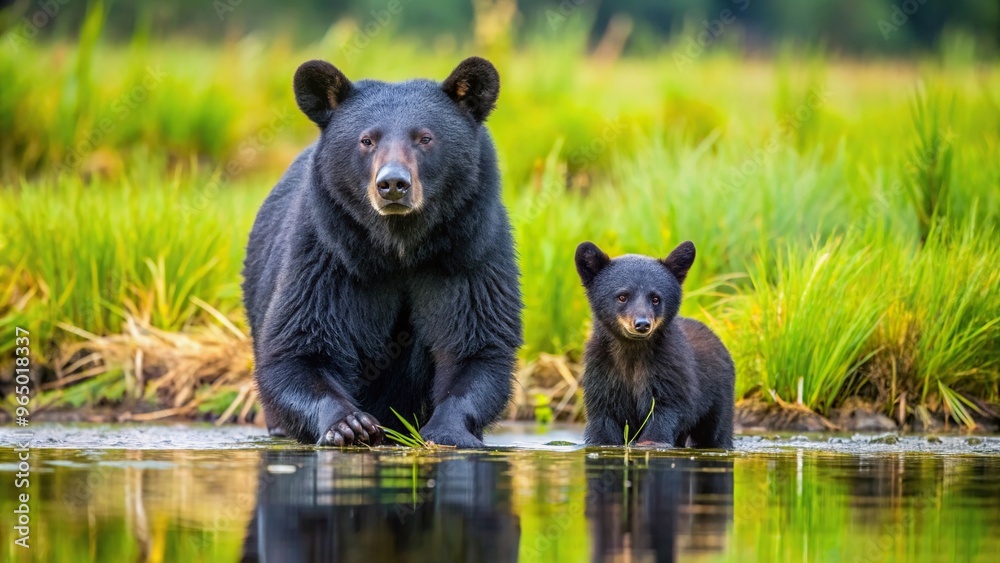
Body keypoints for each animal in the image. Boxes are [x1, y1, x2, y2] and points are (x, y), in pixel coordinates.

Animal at [242, 57, 522, 448]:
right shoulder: (326, 256)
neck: (399, 246)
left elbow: (476, 343)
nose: (392, 184)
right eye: (367, 140)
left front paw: (446, 430)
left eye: (425, 138)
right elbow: (300, 346)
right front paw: (349, 424)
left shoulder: (469, 253)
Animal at [574, 240, 734, 449]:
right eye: (622, 296)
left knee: (717, 432)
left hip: (719, 398)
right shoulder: (602, 374)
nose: (642, 324)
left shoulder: (669, 371)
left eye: (656, 298)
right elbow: (603, 421)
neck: (632, 351)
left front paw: (652, 442)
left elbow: (666, 410)